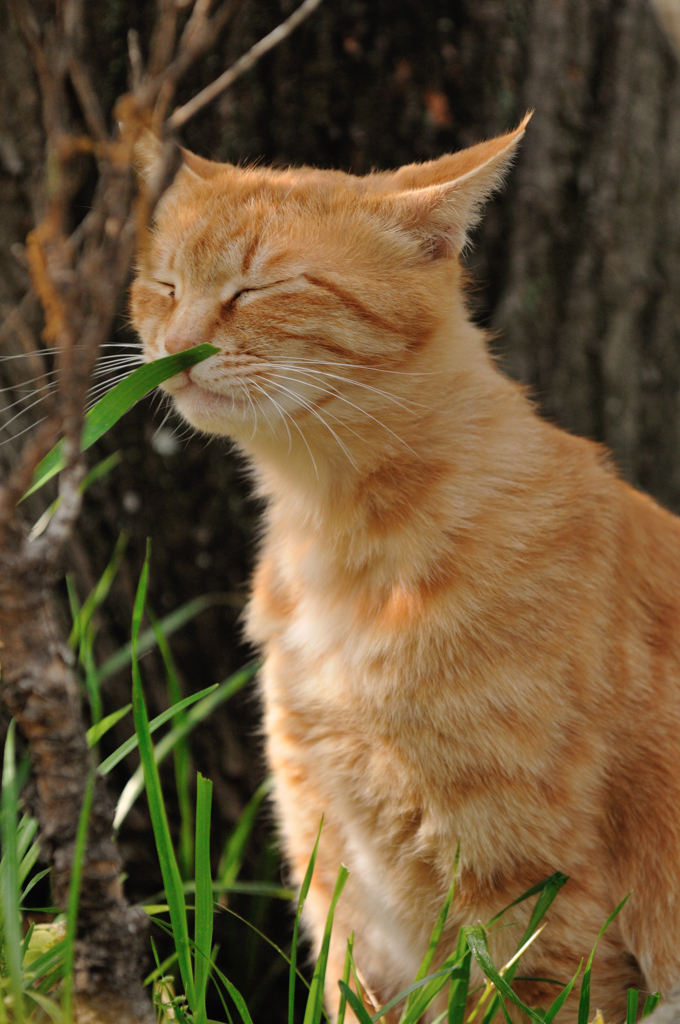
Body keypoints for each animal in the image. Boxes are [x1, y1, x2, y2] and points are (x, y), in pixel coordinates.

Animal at [129, 121, 680, 1024]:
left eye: (261, 287)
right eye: (164, 285)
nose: (175, 353)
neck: (334, 543)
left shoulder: (527, 901)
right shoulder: (338, 879)